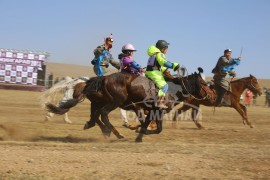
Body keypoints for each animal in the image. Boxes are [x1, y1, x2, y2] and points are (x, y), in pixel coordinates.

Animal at [46, 69, 215, 142]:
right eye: (204, 83)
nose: (212, 95)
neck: (173, 89)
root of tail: (103, 78)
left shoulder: (151, 111)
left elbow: (147, 124)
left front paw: (139, 135)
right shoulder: (156, 111)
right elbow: (157, 128)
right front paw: (139, 131)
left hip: (98, 103)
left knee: (95, 118)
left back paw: (105, 130)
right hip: (115, 101)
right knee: (103, 114)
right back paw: (114, 133)